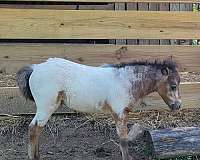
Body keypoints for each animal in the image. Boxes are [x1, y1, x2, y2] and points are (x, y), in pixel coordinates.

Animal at [16, 57, 181, 160]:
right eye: (173, 85)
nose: (178, 105)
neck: (126, 81)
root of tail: (35, 68)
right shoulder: (119, 113)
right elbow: (123, 139)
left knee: (37, 129)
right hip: (46, 106)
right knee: (33, 128)